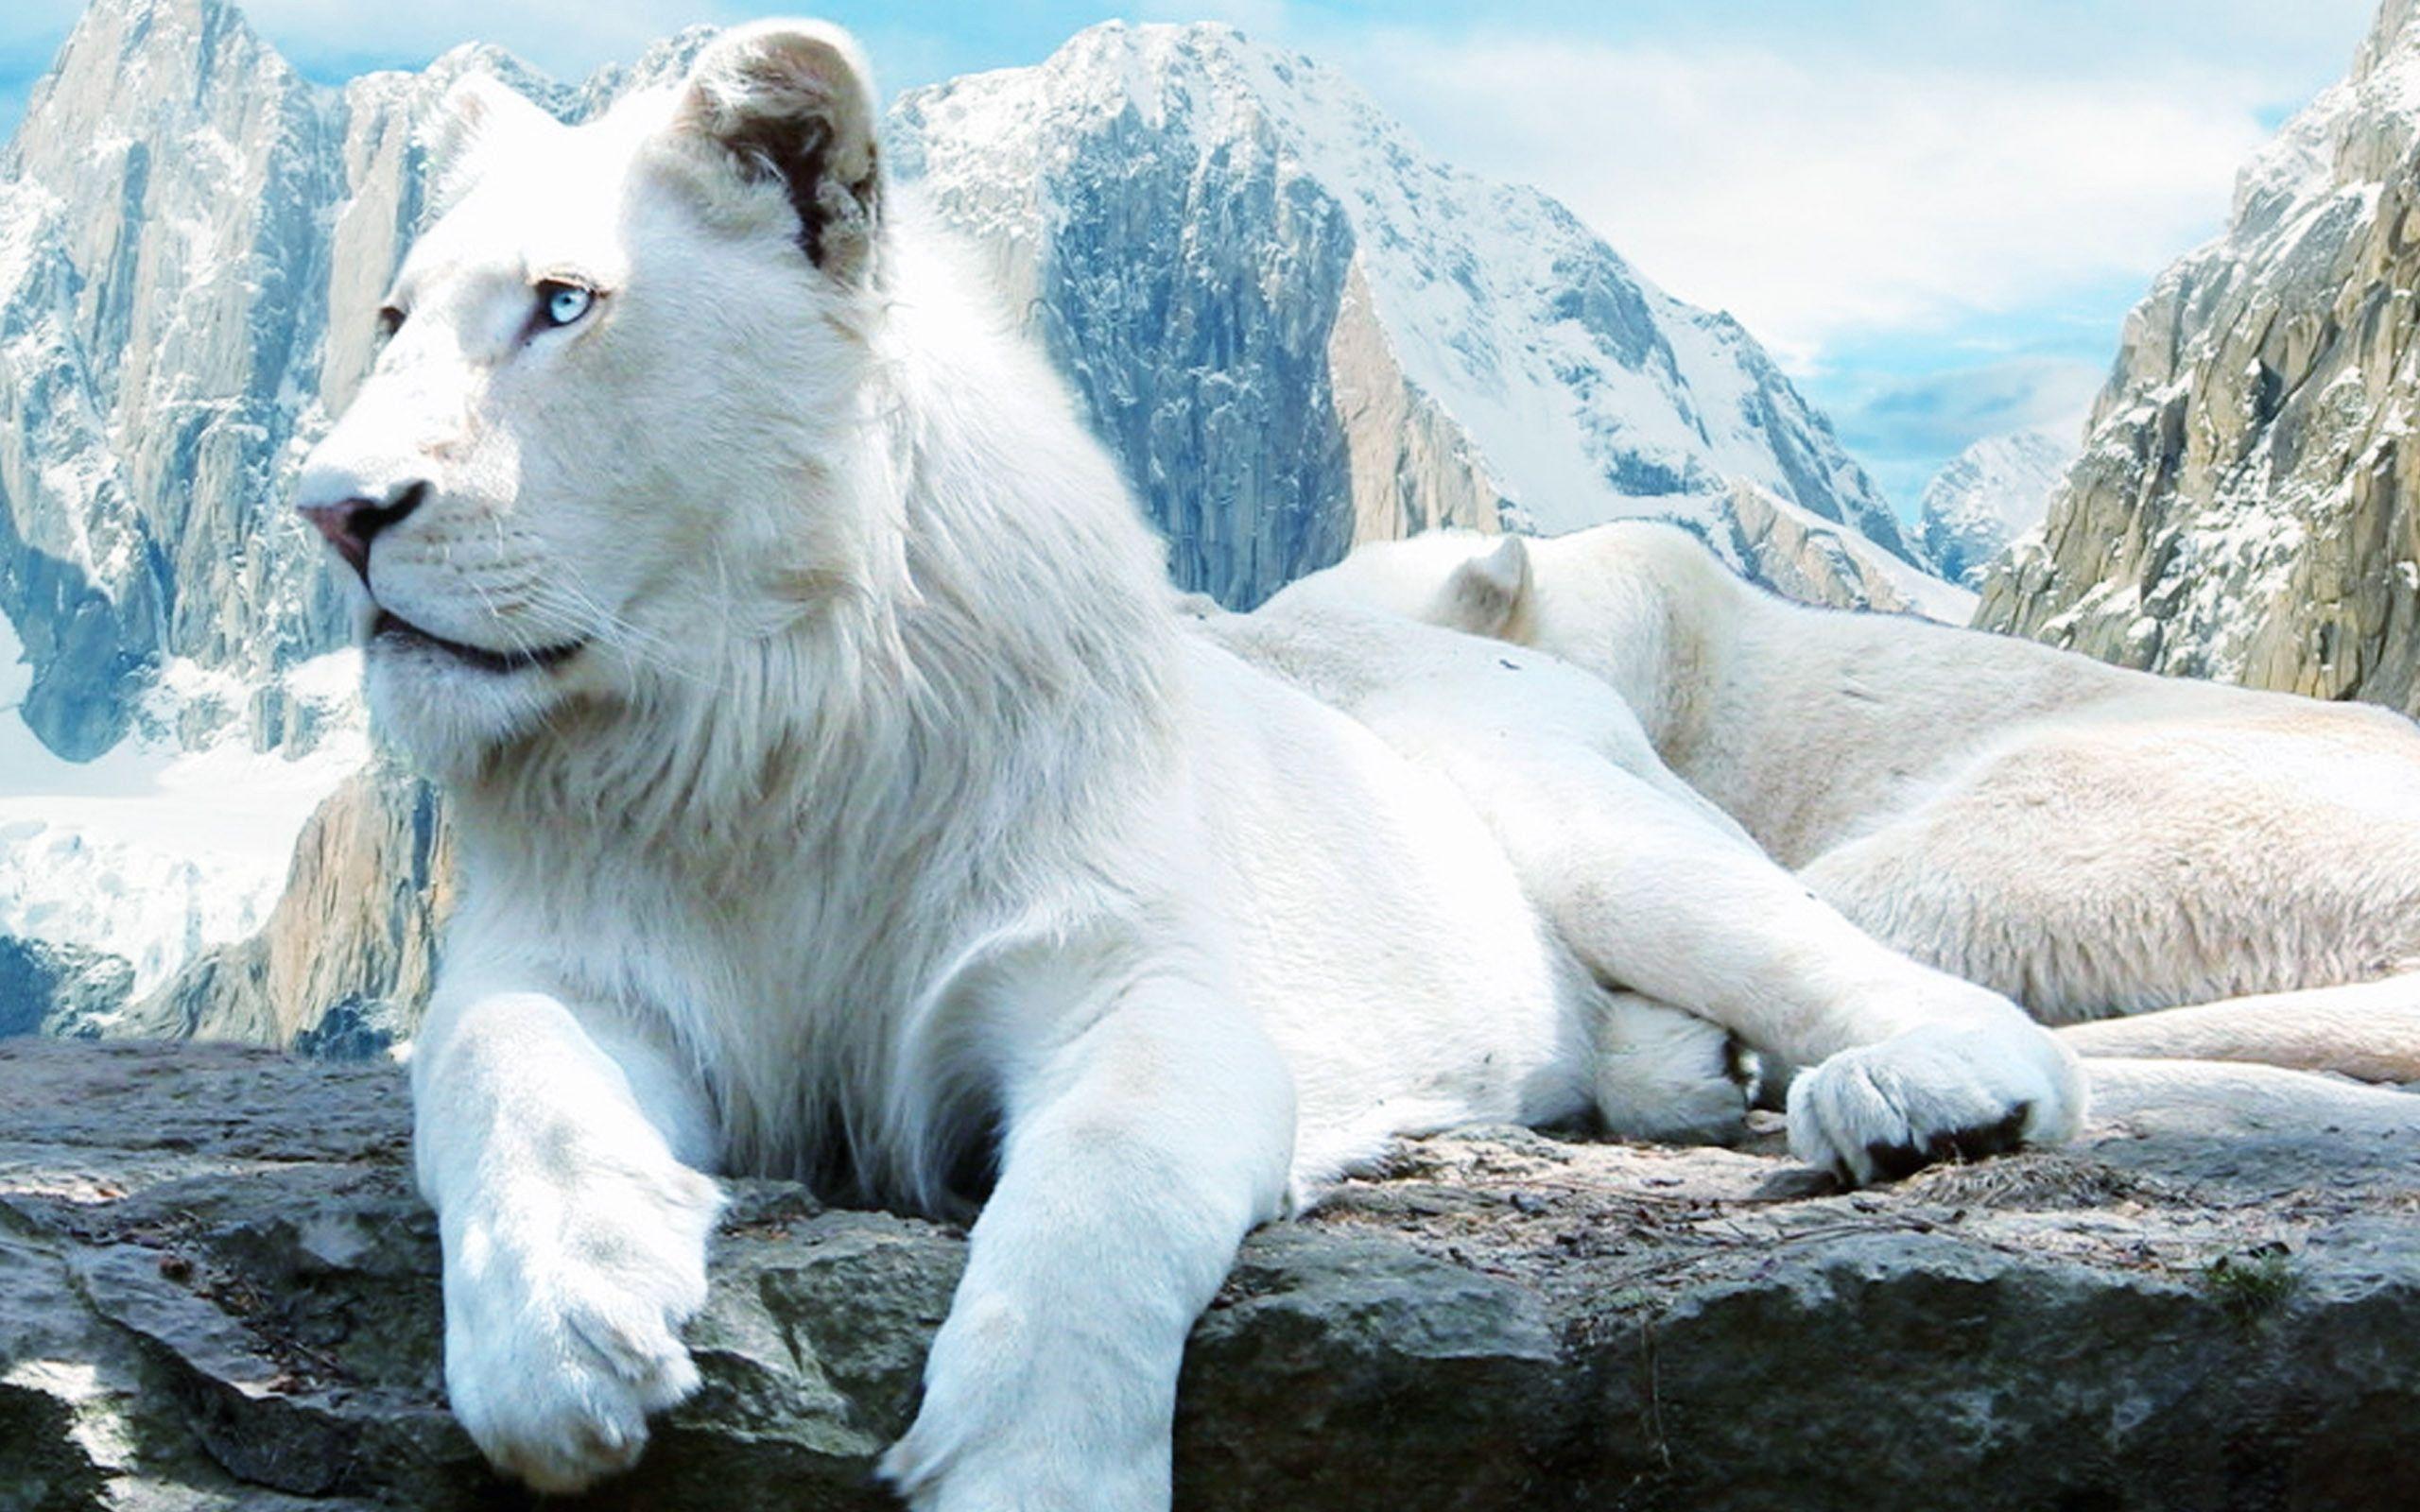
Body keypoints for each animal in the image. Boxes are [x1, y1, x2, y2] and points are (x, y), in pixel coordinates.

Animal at [291, 23, 2081, 1507]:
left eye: (564, 306)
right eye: (389, 319)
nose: (333, 510)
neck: (760, 724)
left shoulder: (1130, 980)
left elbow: (1103, 1201)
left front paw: (1030, 1480)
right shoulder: (571, 965)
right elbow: (506, 1075)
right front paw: (566, 1341)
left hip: (1601, 832)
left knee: (1890, 983)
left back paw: (1914, 1099)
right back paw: (1680, 1071)